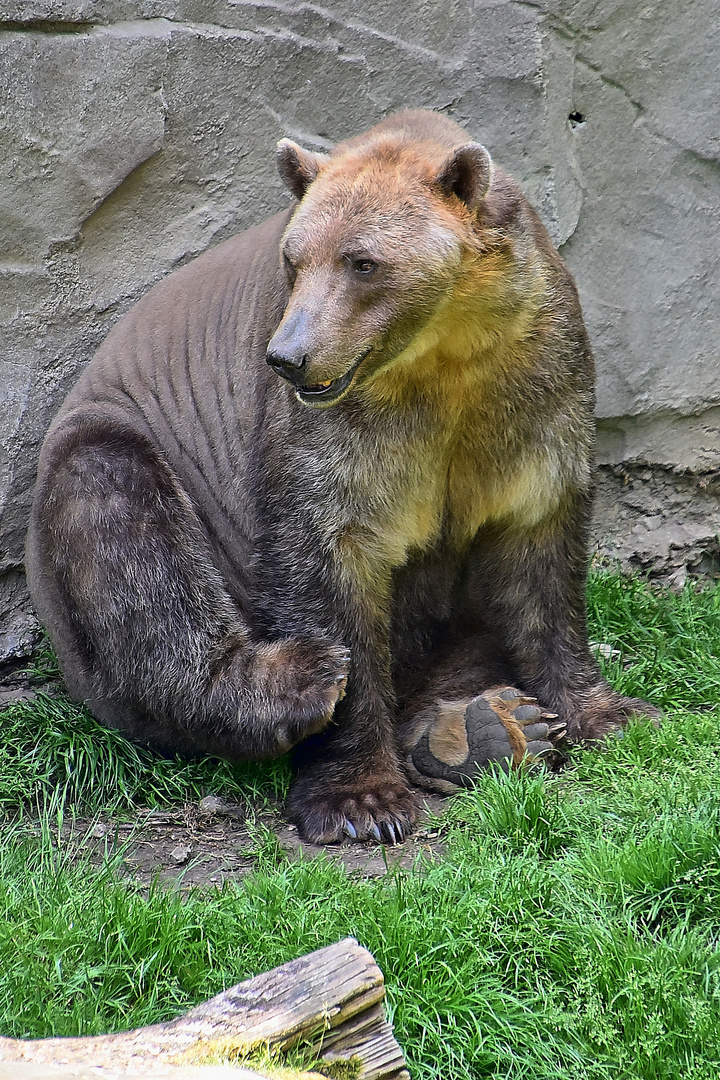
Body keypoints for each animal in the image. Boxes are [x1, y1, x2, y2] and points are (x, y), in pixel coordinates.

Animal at [23, 111, 660, 842]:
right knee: (129, 539)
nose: (290, 356)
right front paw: (360, 797)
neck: (444, 352)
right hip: (121, 455)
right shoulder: (330, 432)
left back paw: (482, 727)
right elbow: (327, 555)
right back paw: (294, 680)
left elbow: (542, 550)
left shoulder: (534, 377)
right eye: (293, 259)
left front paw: (608, 712)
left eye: (363, 261)